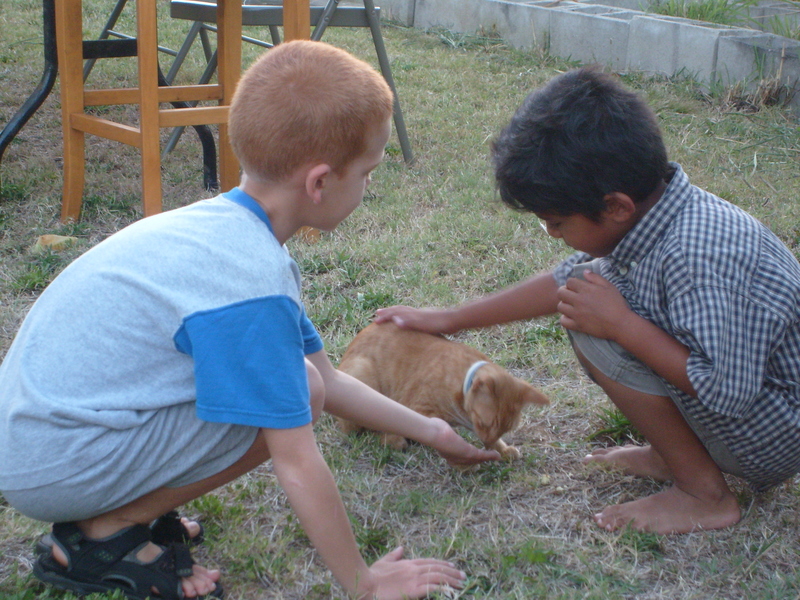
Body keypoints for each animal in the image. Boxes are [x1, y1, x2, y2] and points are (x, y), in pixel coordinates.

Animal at [338, 324, 552, 460]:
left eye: (505, 429)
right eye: (484, 423)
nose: (487, 443)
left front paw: (503, 449)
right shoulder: (415, 410)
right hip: (362, 375)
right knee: (357, 429)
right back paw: (393, 440)